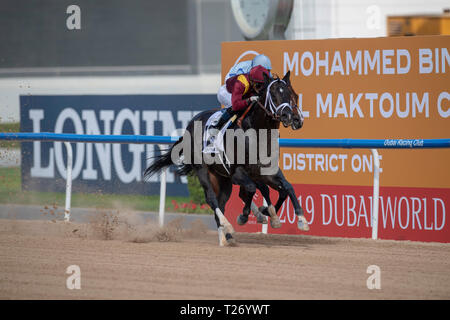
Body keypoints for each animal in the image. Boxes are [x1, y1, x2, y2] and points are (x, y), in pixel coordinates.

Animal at [144, 71, 310, 246]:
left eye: (292, 94)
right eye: (272, 94)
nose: (289, 116)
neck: (257, 134)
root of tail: (191, 123)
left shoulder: (266, 171)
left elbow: (287, 187)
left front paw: (298, 219)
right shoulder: (237, 172)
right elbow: (252, 189)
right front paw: (245, 216)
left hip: (222, 179)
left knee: (222, 202)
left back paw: (226, 235)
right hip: (204, 171)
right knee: (212, 199)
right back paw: (226, 226)